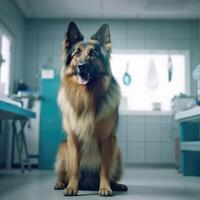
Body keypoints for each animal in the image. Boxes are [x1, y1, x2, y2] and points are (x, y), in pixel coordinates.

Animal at [54, 21, 127, 196]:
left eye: (93, 53)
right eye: (77, 53)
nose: (82, 66)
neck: (86, 97)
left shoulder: (107, 139)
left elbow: (105, 169)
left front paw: (105, 187)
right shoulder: (73, 139)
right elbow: (75, 167)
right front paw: (71, 187)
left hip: (117, 151)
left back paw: (116, 185)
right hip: (63, 149)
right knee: (64, 173)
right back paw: (61, 183)